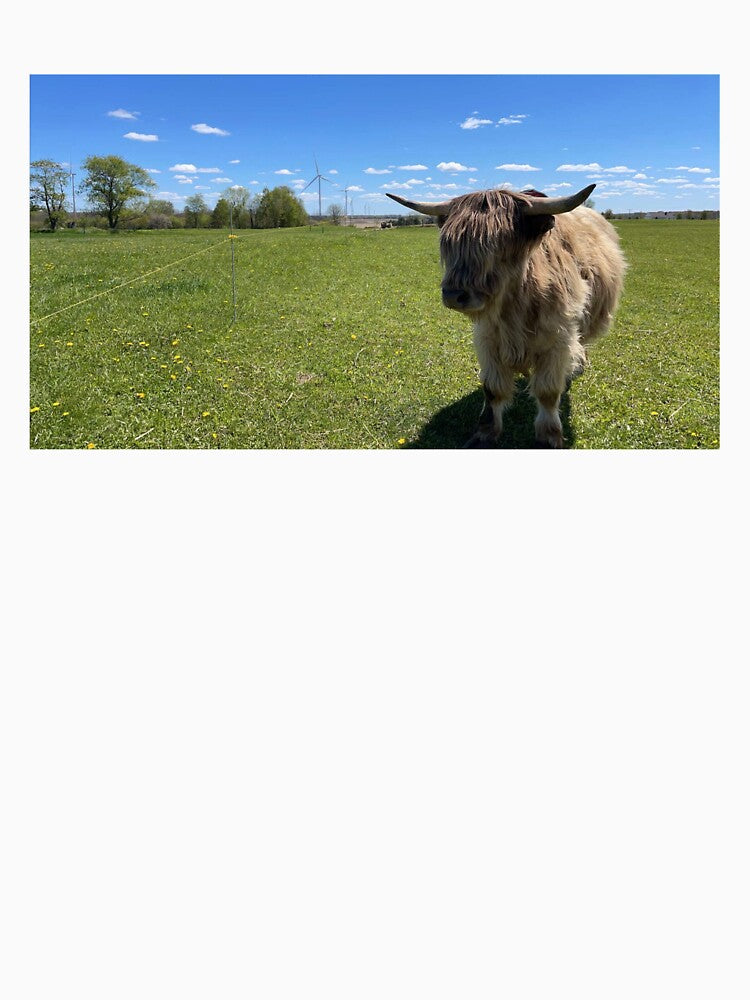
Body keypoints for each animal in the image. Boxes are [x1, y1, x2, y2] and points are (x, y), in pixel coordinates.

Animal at [386, 184, 626, 448]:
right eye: (449, 243)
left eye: (496, 243)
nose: (453, 295)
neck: (515, 307)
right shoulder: (487, 339)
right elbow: (493, 389)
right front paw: (485, 433)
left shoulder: (558, 340)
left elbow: (548, 392)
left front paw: (549, 436)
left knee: (582, 343)